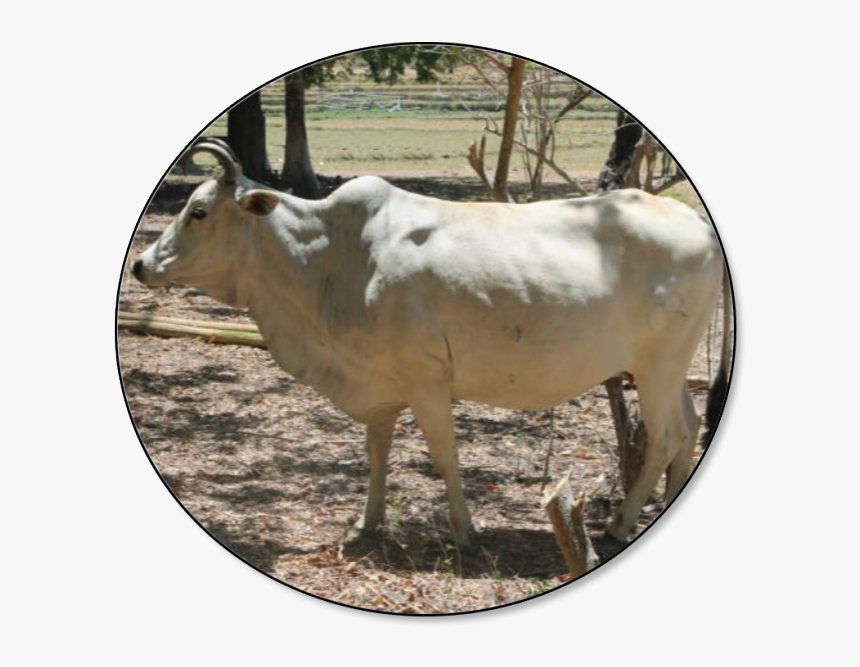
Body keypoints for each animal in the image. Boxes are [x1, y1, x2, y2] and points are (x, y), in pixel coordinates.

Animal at [132, 140, 725, 547]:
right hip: (669, 367)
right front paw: (366, 524)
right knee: (689, 426)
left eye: (199, 212)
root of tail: (691, 218)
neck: (329, 258)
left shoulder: (427, 380)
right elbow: (376, 455)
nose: (140, 265)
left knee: (666, 435)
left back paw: (621, 523)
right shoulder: (380, 388)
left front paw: (464, 532)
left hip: (658, 365)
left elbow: (444, 455)